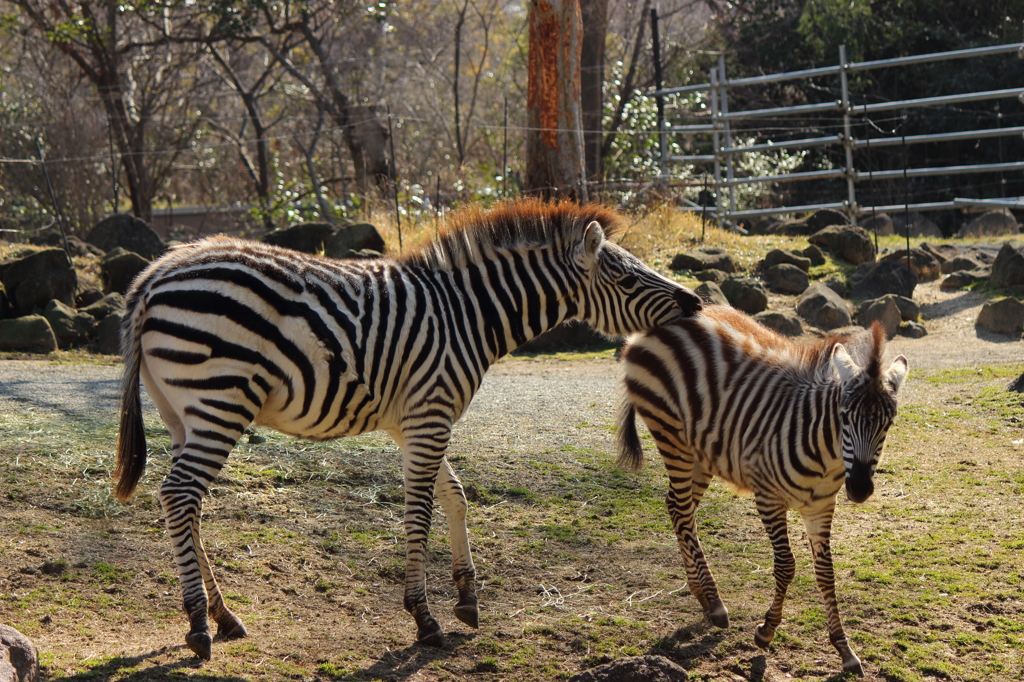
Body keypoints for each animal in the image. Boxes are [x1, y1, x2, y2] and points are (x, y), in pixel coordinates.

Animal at [114, 197, 704, 659]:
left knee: (187, 504)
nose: (697, 302)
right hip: (221, 399)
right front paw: (424, 617)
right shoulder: (431, 414)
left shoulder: (413, 421)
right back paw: (197, 624)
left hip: (181, 412)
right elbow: (420, 511)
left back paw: (224, 616)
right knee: (179, 494)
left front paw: (467, 597)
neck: (468, 315)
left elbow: (455, 495)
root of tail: (153, 275)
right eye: (626, 278)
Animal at [614, 303, 905, 675]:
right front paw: (766, 631)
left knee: (678, 509)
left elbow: (826, 573)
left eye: (888, 423)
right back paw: (715, 604)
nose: (860, 488)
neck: (826, 455)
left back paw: (703, 596)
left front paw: (844, 649)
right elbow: (786, 566)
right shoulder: (769, 499)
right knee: (680, 508)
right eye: (844, 417)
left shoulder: (821, 507)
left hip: (702, 452)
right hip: (672, 436)